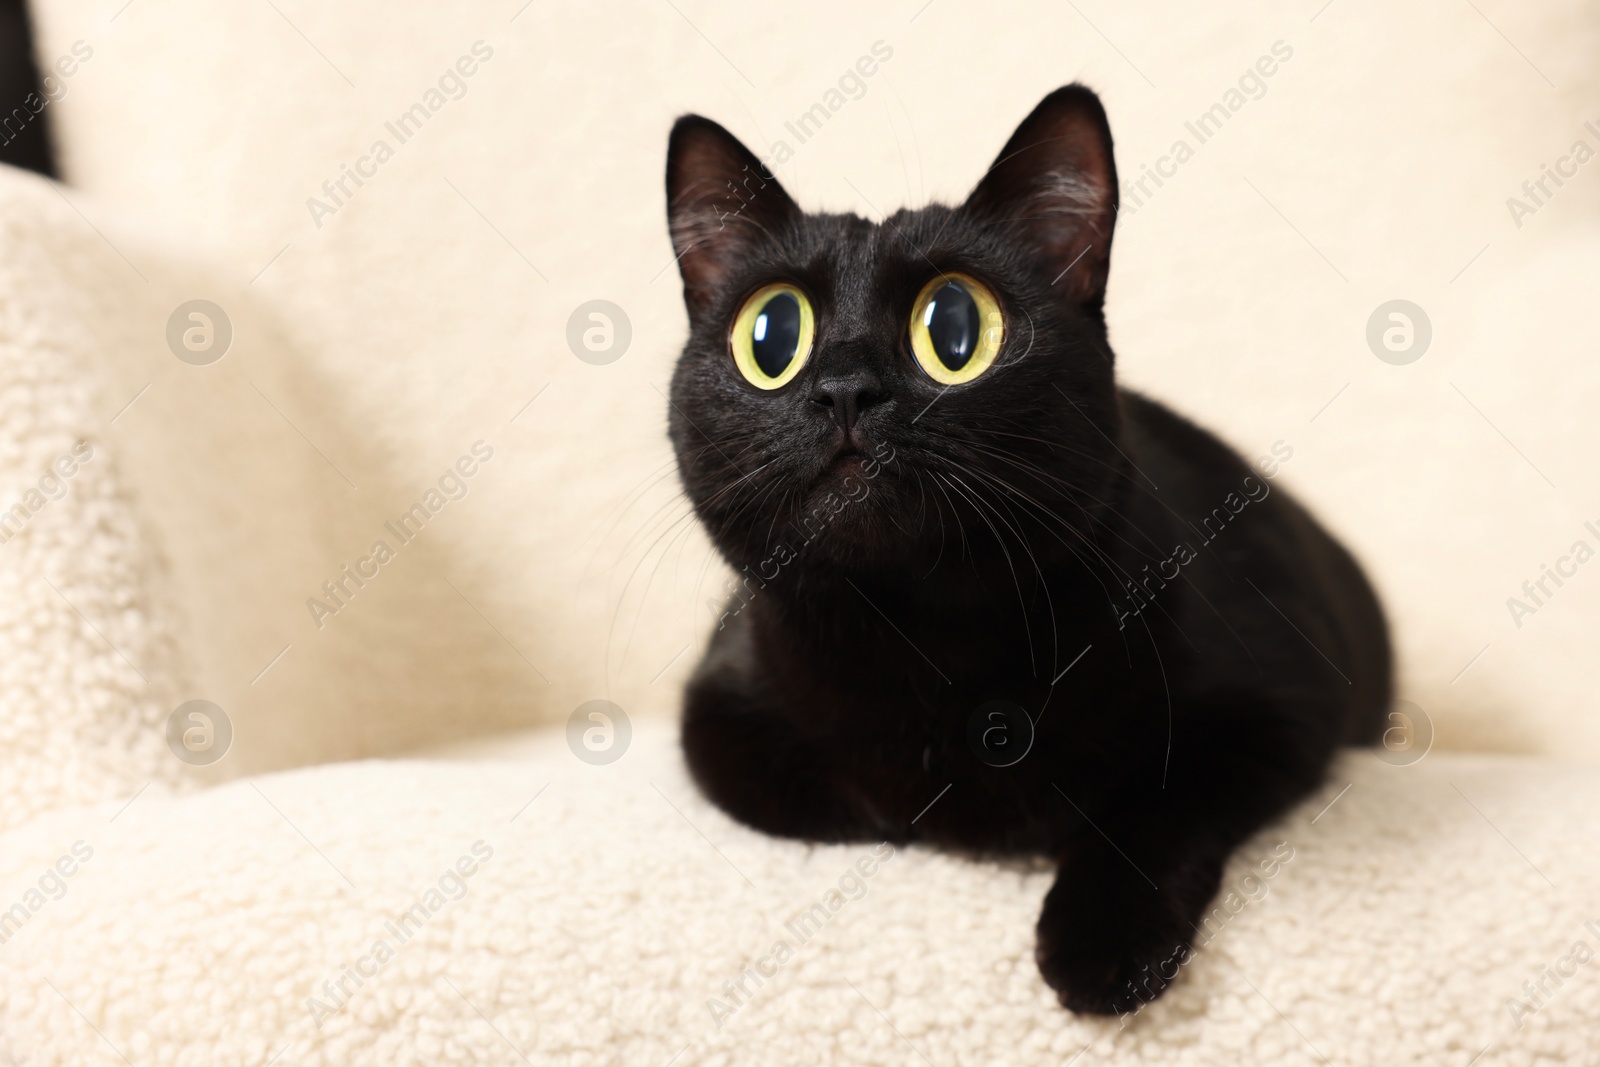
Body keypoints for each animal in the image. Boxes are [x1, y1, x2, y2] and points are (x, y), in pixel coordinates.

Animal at [662, 85, 1388, 1017]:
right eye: (773, 335)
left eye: (955, 326)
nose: (845, 389)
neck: (925, 640)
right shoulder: (717, 710)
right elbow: (857, 804)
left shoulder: (1281, 707)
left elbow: (1157, 803)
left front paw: (1103, 945)